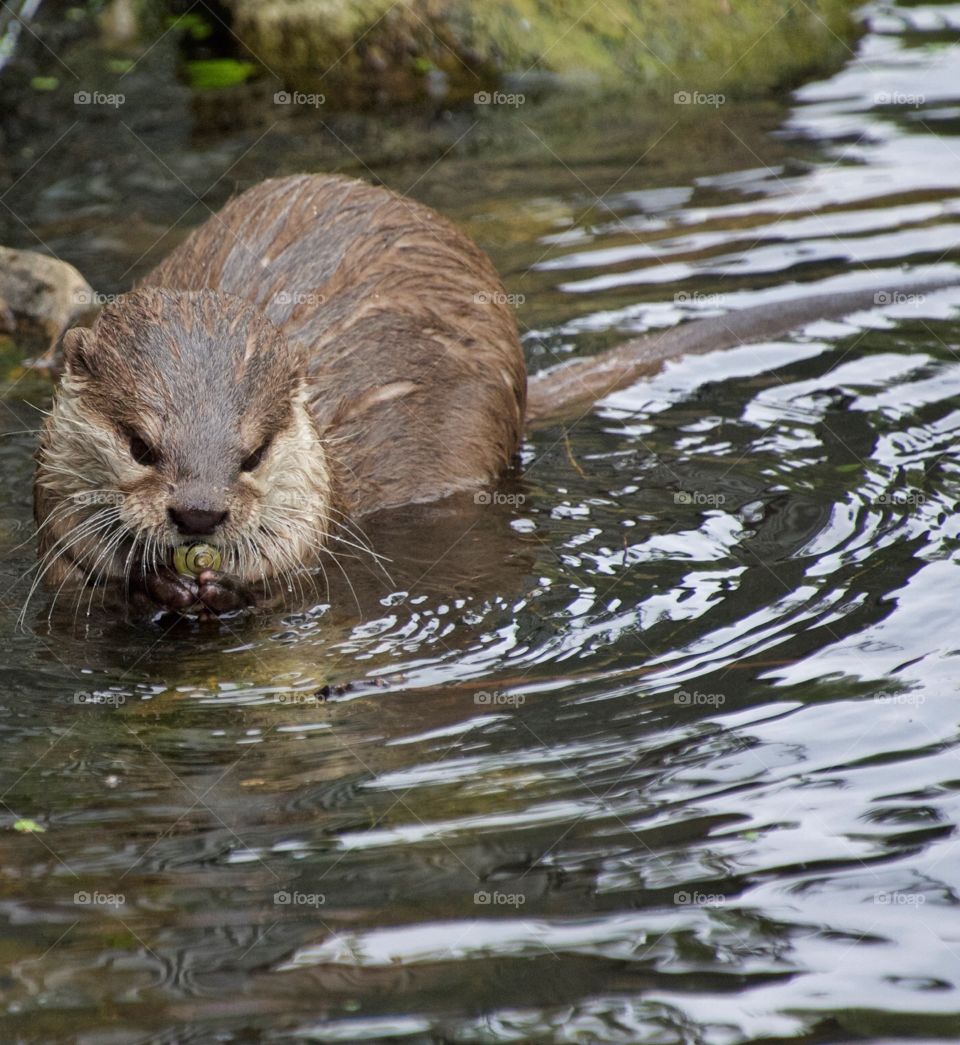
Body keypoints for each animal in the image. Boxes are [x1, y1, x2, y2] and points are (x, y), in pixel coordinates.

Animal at [33, 171, 956, 618]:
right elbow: (73, 572)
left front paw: (225, 586)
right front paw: (146, 584)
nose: (199, 515)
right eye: (141, 443)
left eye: (253, 453)